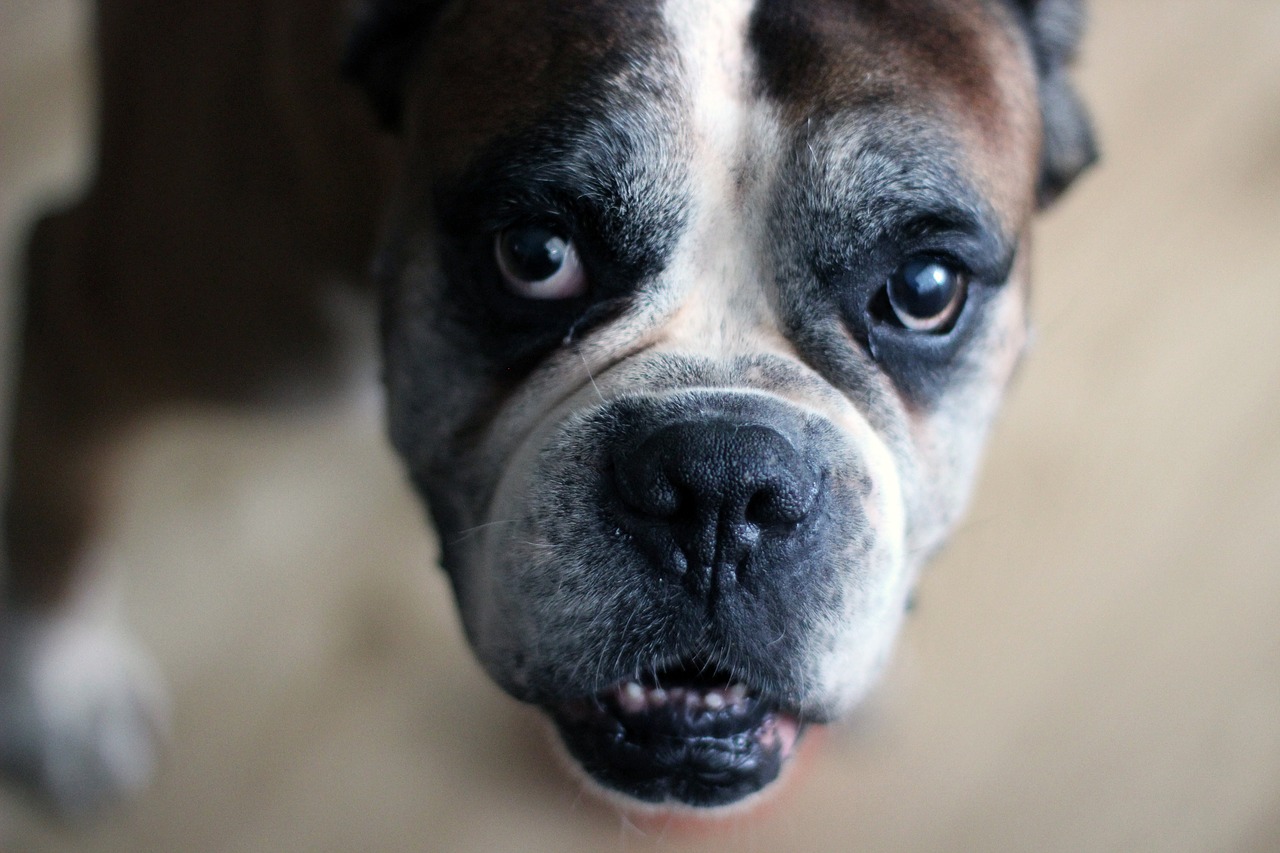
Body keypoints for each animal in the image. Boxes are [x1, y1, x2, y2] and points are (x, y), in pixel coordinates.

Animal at [5, 0, 1095, 814]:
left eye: (924, 287)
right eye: (534, 254)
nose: (719, 484)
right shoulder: (87, 300)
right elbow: (60, 495)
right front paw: (62, 687)